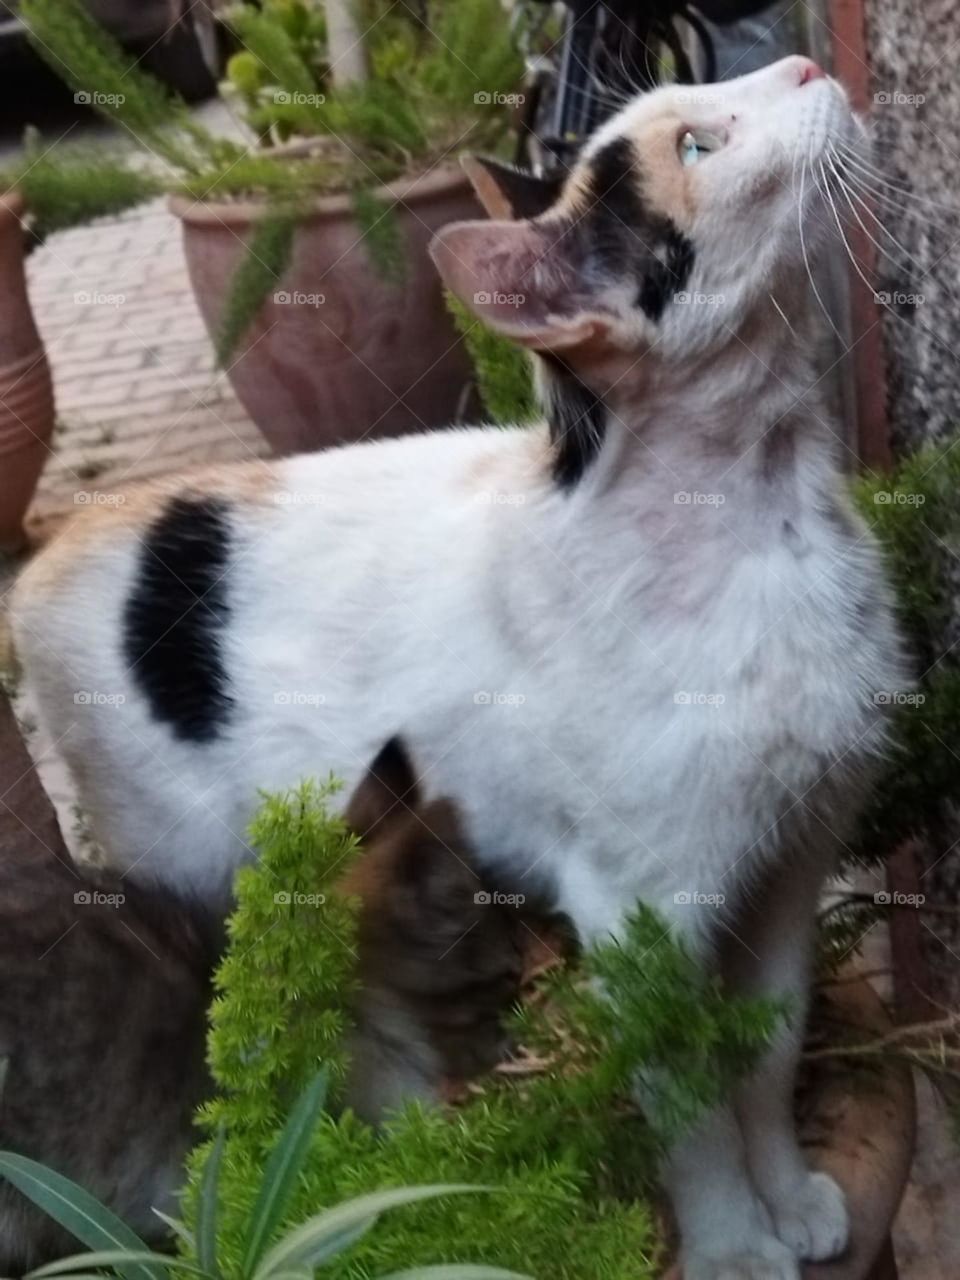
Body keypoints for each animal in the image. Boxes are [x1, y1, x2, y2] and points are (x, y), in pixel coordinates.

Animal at [9, 55, 911, 1274]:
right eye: (700, 145)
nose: (807, 63)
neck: (767, 513)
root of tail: (57, 544)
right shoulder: (639, 912)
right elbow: (689, 1099)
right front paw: (732, 1241)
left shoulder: (790, 862)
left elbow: (763, 1054)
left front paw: (790, 1193)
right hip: (197, 866)